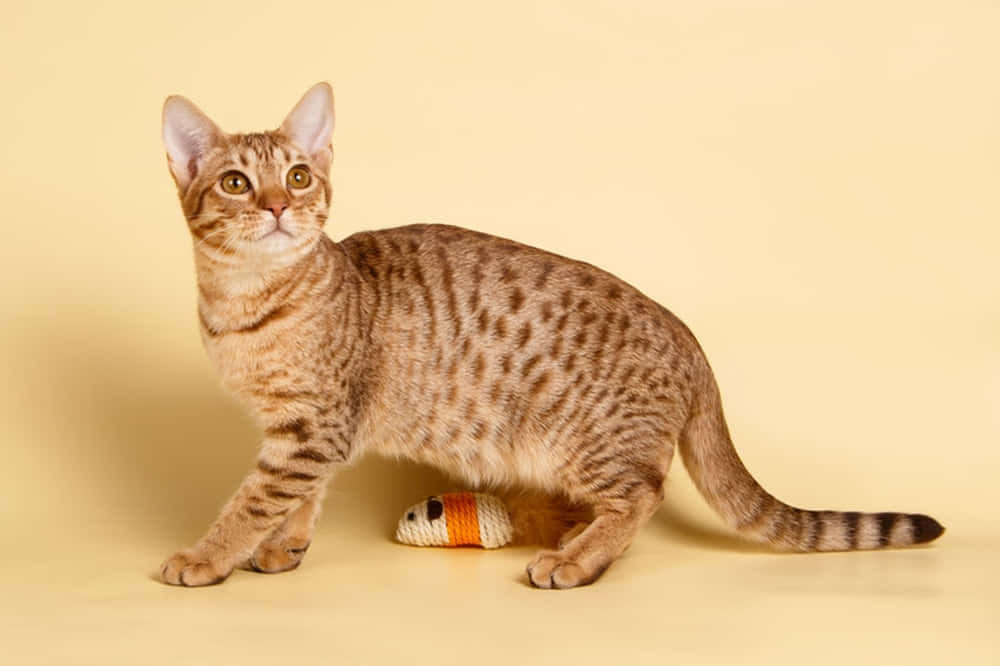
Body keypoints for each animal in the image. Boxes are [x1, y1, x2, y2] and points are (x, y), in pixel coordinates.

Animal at [160, 81, 940, 588]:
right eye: (235, 183)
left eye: (298, 176)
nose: (278, 206)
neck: (244, 300)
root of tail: (692, 340)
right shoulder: (308, 433)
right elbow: (299, 500)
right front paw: (283, 547)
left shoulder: (311, 429)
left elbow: (252, 502)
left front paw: (205, 557)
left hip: (581, 441)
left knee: (643, 496)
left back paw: (577, 559)